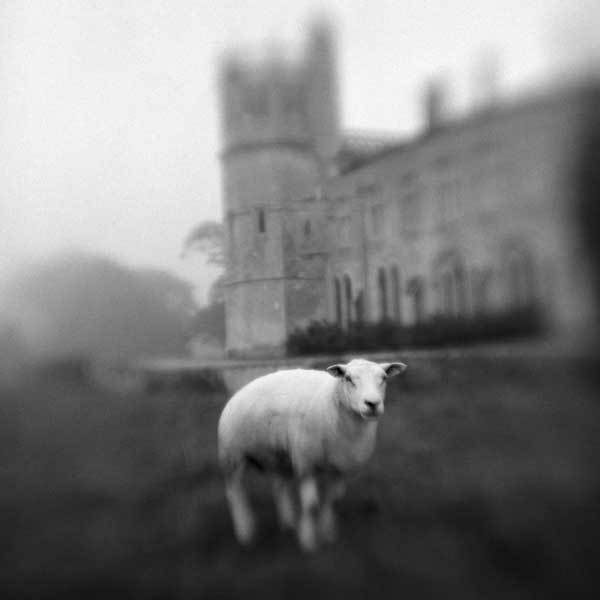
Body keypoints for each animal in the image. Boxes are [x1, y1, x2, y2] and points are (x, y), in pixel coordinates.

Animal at [218, 358, 406, 552]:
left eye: (384, 378)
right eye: (348, 378)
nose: (372, 404)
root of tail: (239, 391)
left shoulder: (341, 467)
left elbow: (334, 501)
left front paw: (327, 532)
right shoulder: (305, 463)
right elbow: (310, 506)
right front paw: (308, 540)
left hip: (277, 456)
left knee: (279, 486)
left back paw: (288, 522)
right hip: (232, 455)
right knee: (236, 494)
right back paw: (245, 531)